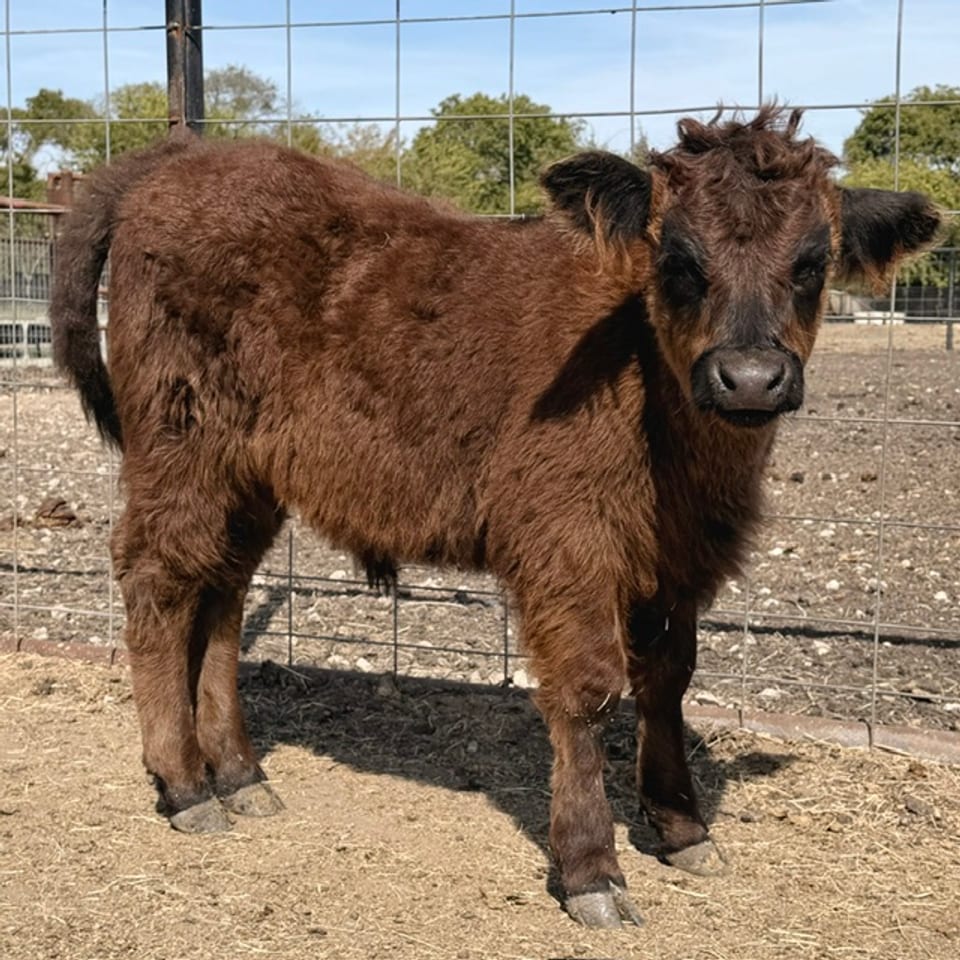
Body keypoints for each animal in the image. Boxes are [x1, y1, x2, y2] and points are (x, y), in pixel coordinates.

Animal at [51, 106, 940, 928]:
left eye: (813, 262)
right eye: (678, 259)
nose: (750, 378)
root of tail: (181, 158)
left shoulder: (677, 561)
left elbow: (669, 679)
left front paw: (683, 829)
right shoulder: (566, 543)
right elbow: (589, 690)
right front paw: (591, 870)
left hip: (248, 479)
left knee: (221, 593)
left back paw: (239, 775)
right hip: (181, 447)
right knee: (159, 579)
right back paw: (184, 785)